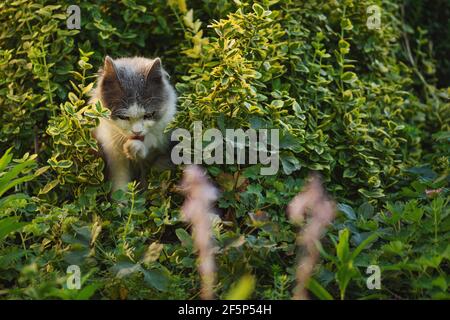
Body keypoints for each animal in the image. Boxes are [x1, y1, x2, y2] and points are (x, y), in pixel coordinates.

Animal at [89, 56, 176, 192]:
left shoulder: (163, 148)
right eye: (123, 117)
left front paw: (134, 147)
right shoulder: (116, 159)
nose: (137, 132)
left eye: (148, 116)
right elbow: (120, 186)